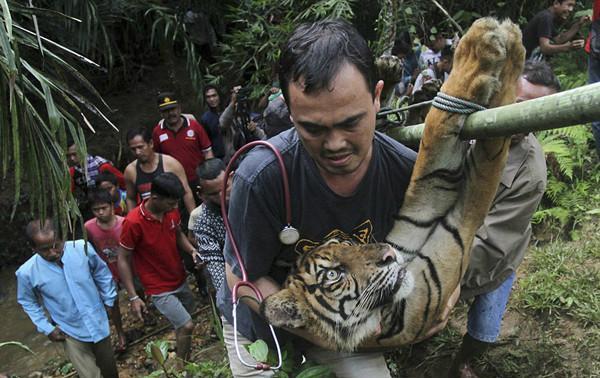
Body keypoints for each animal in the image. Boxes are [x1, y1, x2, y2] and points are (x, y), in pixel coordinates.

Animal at [260, 18, 528, 352]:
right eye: (333, 274)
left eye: (349, 245)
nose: (388, 255)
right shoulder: (455, 240)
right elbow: (486, 159)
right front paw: (491, 47)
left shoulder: (418, 213)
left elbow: (433, 145)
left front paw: (499, 41)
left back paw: (388, 70)